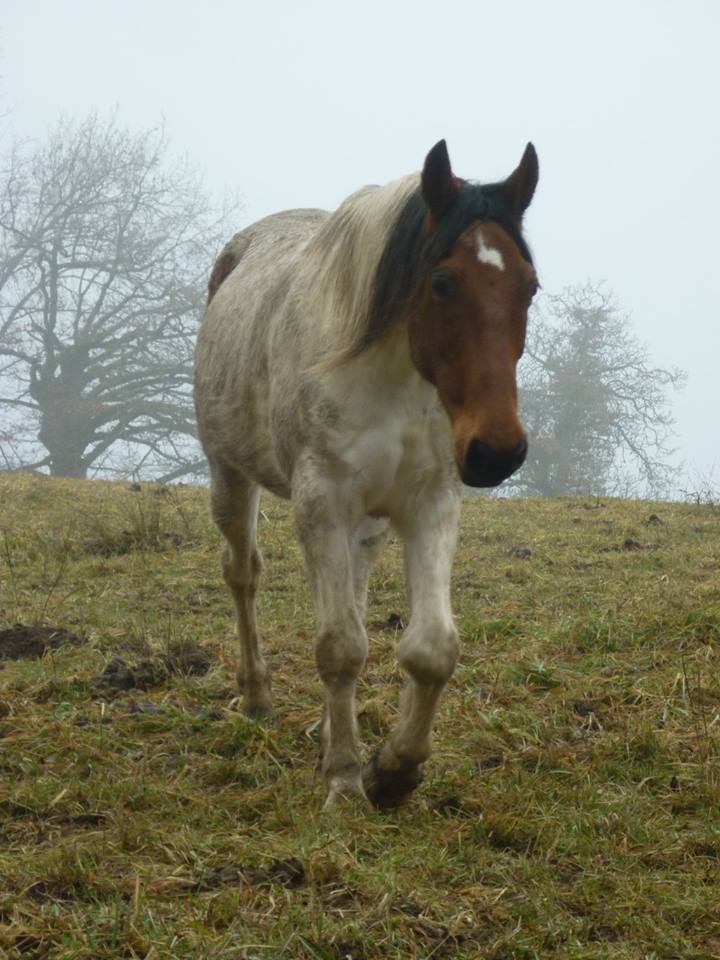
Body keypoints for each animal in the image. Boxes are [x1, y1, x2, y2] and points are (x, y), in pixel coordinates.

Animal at [194, 139, 536, 808]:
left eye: (530, 288)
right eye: (442, 282)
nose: (497, 451)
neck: (392, 381)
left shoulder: (429, 505)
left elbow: (430, 649)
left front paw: (394, 770)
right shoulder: (320, 503)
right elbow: (339, 647)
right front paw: (347, 781)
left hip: (366, 524)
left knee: (350, 592)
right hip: (231, 476)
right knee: (243, 574)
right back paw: (258, 696)